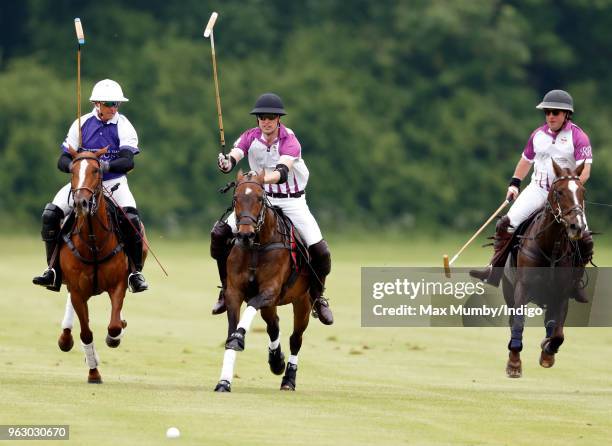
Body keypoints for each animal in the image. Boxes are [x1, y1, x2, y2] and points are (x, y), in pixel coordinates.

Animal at [58, 146, 148, 384]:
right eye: (72, 170)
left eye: (97, 170)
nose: (81, 203)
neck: (93, 242)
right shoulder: (78, 291)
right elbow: (86, 333)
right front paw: (94, 372)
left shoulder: (118, 284)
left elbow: (114, 325)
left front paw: (114, 337)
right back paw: (65, 337)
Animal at [214, 172, 310, 392]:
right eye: (235, 198)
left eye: (259, 198)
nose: (245, 234)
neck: (256, 246)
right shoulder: (234, 292)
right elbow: (232, 329)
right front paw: (224, 382)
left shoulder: (269, 291)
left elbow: (248, 309)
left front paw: (239, 339)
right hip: (271, 305)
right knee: (273, 326)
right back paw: (276, 360)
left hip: (303, 302)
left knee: (296, 339)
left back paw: (288, 380)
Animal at [502, 160, 588, 376]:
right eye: (559, 192)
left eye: (582, 191)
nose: (577, 226)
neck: (552, 247)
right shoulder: (522, 288)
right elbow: (518, 322)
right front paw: (514, 363)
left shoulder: (562, 293)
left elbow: (558, 333)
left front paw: (548, 352)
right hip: (508, 289)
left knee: (550, 322)